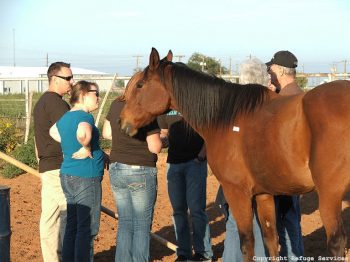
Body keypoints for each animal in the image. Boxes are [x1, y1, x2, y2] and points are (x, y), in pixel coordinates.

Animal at [119, 47, 348, 260]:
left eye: (140, 85)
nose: (122, 121)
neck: (225, 118)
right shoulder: (264, 194)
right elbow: (271, 240)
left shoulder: (237, 192)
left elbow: (247, 243)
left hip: (329, 196)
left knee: (337, 244)